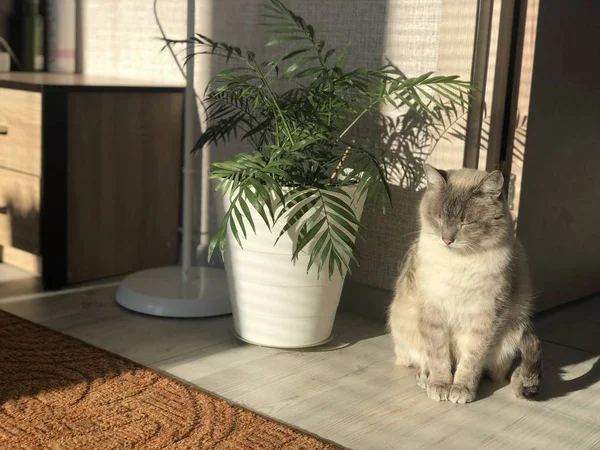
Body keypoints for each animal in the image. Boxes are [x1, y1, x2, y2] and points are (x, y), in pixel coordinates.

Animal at [390, 165, 544, 404]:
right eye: (439, 219)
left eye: (466, 223)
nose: (447, 240)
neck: (460, 261)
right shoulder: (433, 311)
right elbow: (438, 357)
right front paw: (440, 386)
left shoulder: (486, 317)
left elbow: (471, 361)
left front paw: (461, 390)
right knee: (419, 360)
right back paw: (425, 379)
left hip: (514, 331)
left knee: (491, 372)